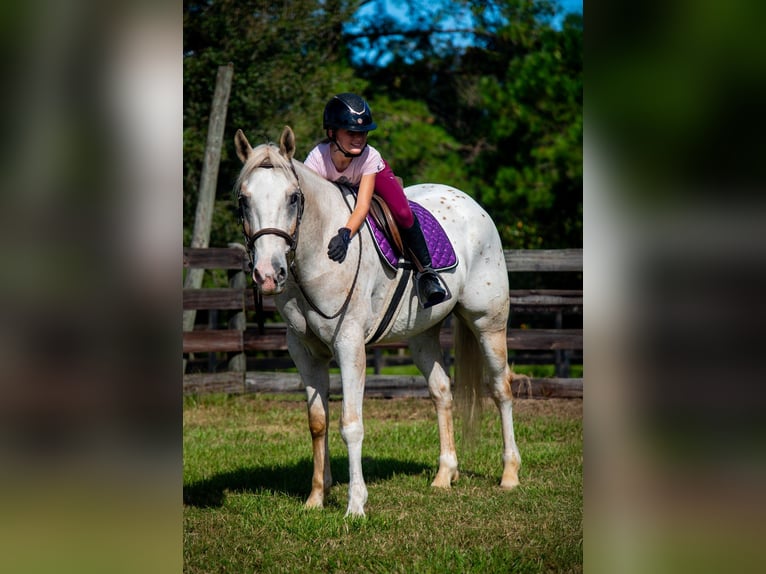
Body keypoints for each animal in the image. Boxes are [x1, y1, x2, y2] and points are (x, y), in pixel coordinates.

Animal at [234, 125, 520, 517]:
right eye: (243, 200)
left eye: (293, 198)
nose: (267, 274)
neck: (317, 254)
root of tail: (470, 203)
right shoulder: (304, 352)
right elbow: (318, 422)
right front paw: (316, 498)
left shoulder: (349, 346)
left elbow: (350, 424)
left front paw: (355, 506)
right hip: (422, 335)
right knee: (441, 392)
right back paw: (444, 475)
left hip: (487, 323)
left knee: (500, 388)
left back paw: (509, 475)